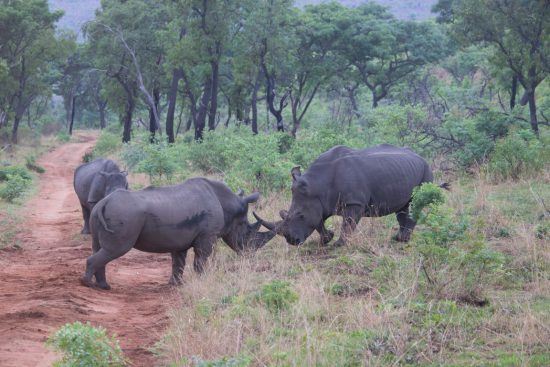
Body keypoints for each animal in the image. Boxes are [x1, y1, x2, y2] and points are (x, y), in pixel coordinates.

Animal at [82, 178, 278, 290]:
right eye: (247, 231)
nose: (249, 254)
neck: (229, 205)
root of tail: (104, 202)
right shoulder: (207, 236)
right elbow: (201, 259)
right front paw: (202, 279)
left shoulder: (180, 238)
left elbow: (178, 262)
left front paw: (175, 284)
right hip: (124, 215)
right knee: (115, 250)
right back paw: (88, 284)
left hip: (99, 213)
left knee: (100, 248)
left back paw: (103, 287)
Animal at [256, 144, 446, 247]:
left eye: (300, 215)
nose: (292, 241)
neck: (317, 184)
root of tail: (420, 156)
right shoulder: (319, 202)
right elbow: (318, 221)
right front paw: (326, 239)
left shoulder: (354, 202)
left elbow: (348, 223)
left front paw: (339, 244)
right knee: (404, 207)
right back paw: (398, 238)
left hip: (426, 170)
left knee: (416, 203)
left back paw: (403, 240)